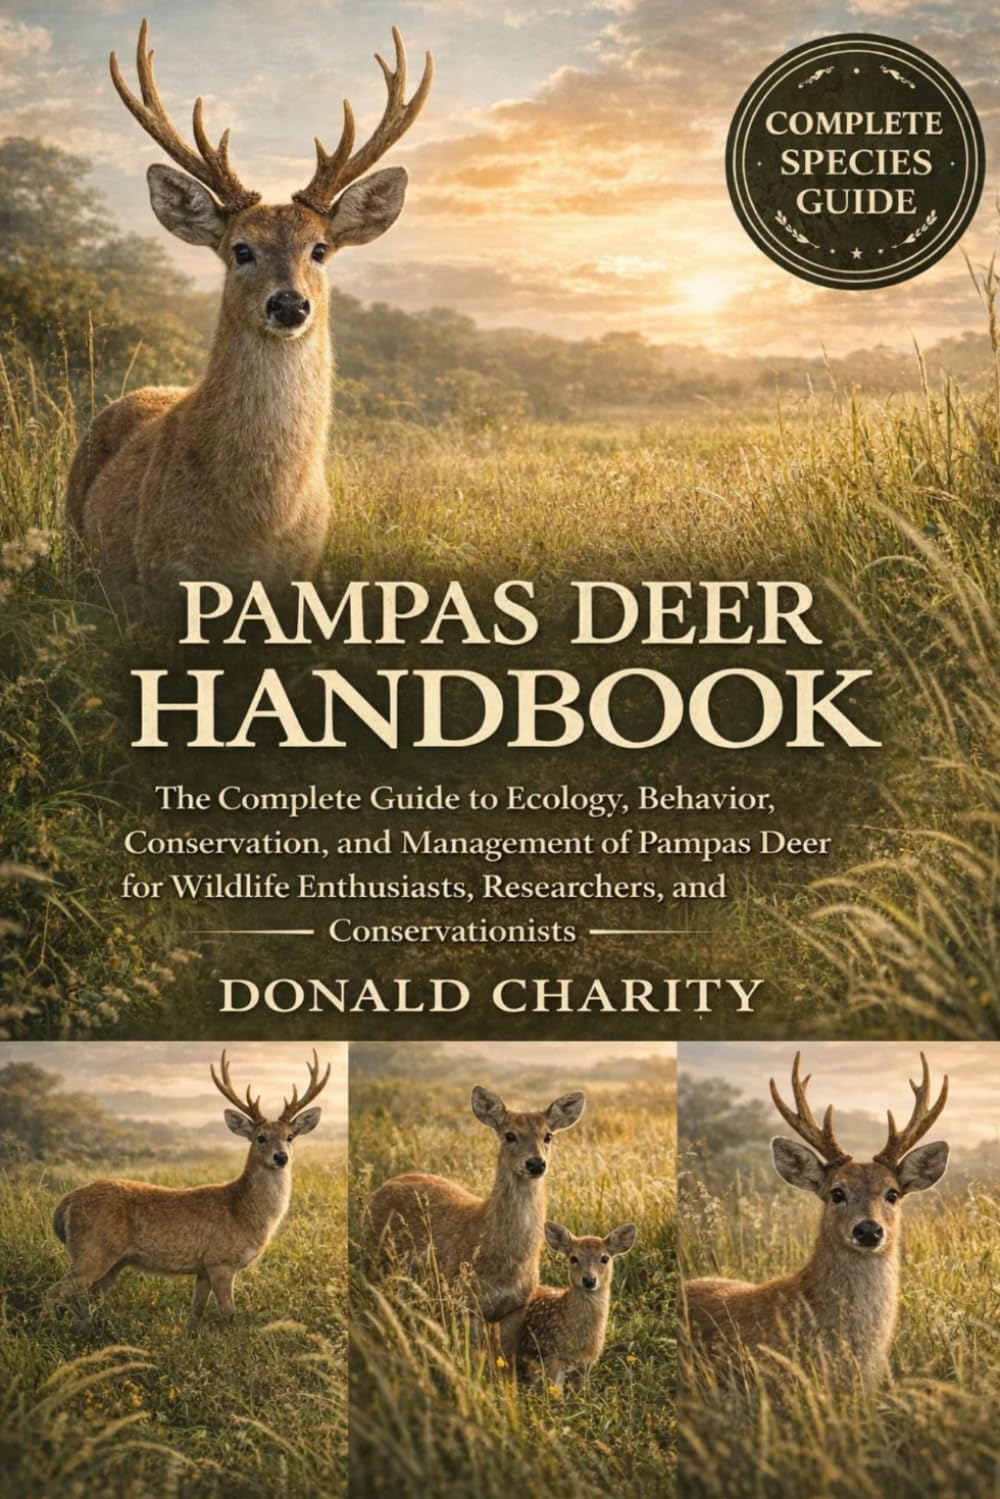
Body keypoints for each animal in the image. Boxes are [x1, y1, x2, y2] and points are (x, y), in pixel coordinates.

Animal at [46, 1049, 329, 1325]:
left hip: (114, 1262)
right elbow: (229, 1315)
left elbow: (196, 1313)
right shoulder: (220, 1261)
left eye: (290, 1137)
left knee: (89, 1301)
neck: (242, 1211)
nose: (281, 1157)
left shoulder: (202, 1269)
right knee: (53, 1293)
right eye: (260, 1138)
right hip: (91, 1251)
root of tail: (66, 1202)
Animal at [365, 1085, 586, 1329]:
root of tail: (382, 1187)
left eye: (548, 1136)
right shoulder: (466, 1302)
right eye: (509, 1135)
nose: (535, 1163)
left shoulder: (517, 1306)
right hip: (375, 1262)